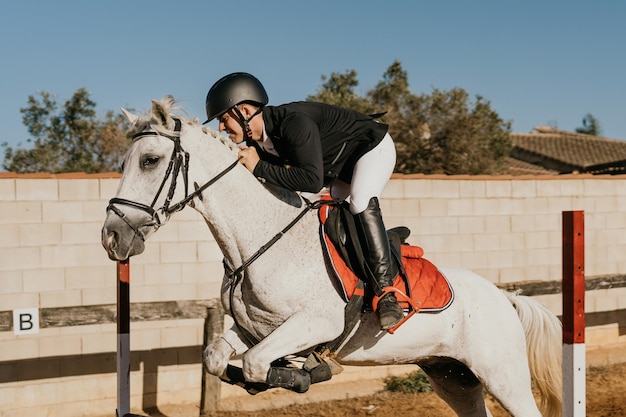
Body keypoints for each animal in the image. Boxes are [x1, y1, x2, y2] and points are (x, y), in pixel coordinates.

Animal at [102, 96, 560, 416]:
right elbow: (218, 358)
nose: (111, 238)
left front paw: (308, 373)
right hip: (453, 377)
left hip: (503, 376)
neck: (263, 240)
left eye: (150, 160)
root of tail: (506, 298)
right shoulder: (255, 328)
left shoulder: (315, 323)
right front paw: (285, 374)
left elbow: (253, 364)